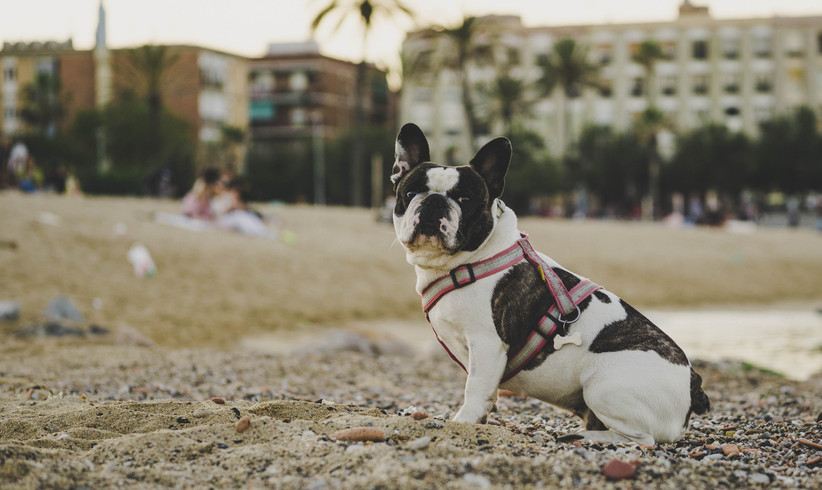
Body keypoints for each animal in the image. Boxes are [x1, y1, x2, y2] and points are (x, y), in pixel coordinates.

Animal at [392, 122, 708, 444]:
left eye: (464, 199)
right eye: (411, 192)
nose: (434, 201)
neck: (468, 260)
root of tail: (693, 385)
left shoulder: (486, 344)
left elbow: (475, 389)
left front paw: (463, 423)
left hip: (603, 386)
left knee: (642, 439)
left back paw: (585, 437)